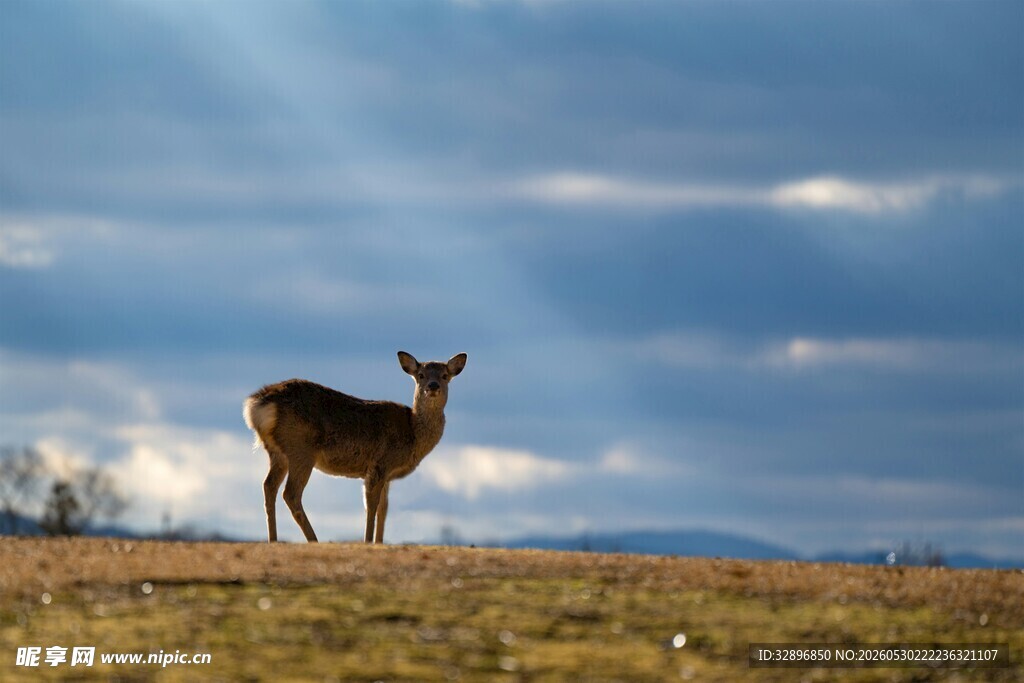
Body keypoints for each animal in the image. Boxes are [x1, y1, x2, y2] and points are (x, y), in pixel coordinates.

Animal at [243, 351, 467, 544]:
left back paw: (273, 539)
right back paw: (313, 540)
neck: (412, 433)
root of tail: (257, 404)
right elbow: (371, 506)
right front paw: (368, 541)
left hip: (277, 452)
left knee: (269, 486)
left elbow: (384, 509)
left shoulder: (387, 474)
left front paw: (379, 542)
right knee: (290, 493)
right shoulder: (379, 464)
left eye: (445, 375)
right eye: (420, 375)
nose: (433, 386)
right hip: (301, 449)